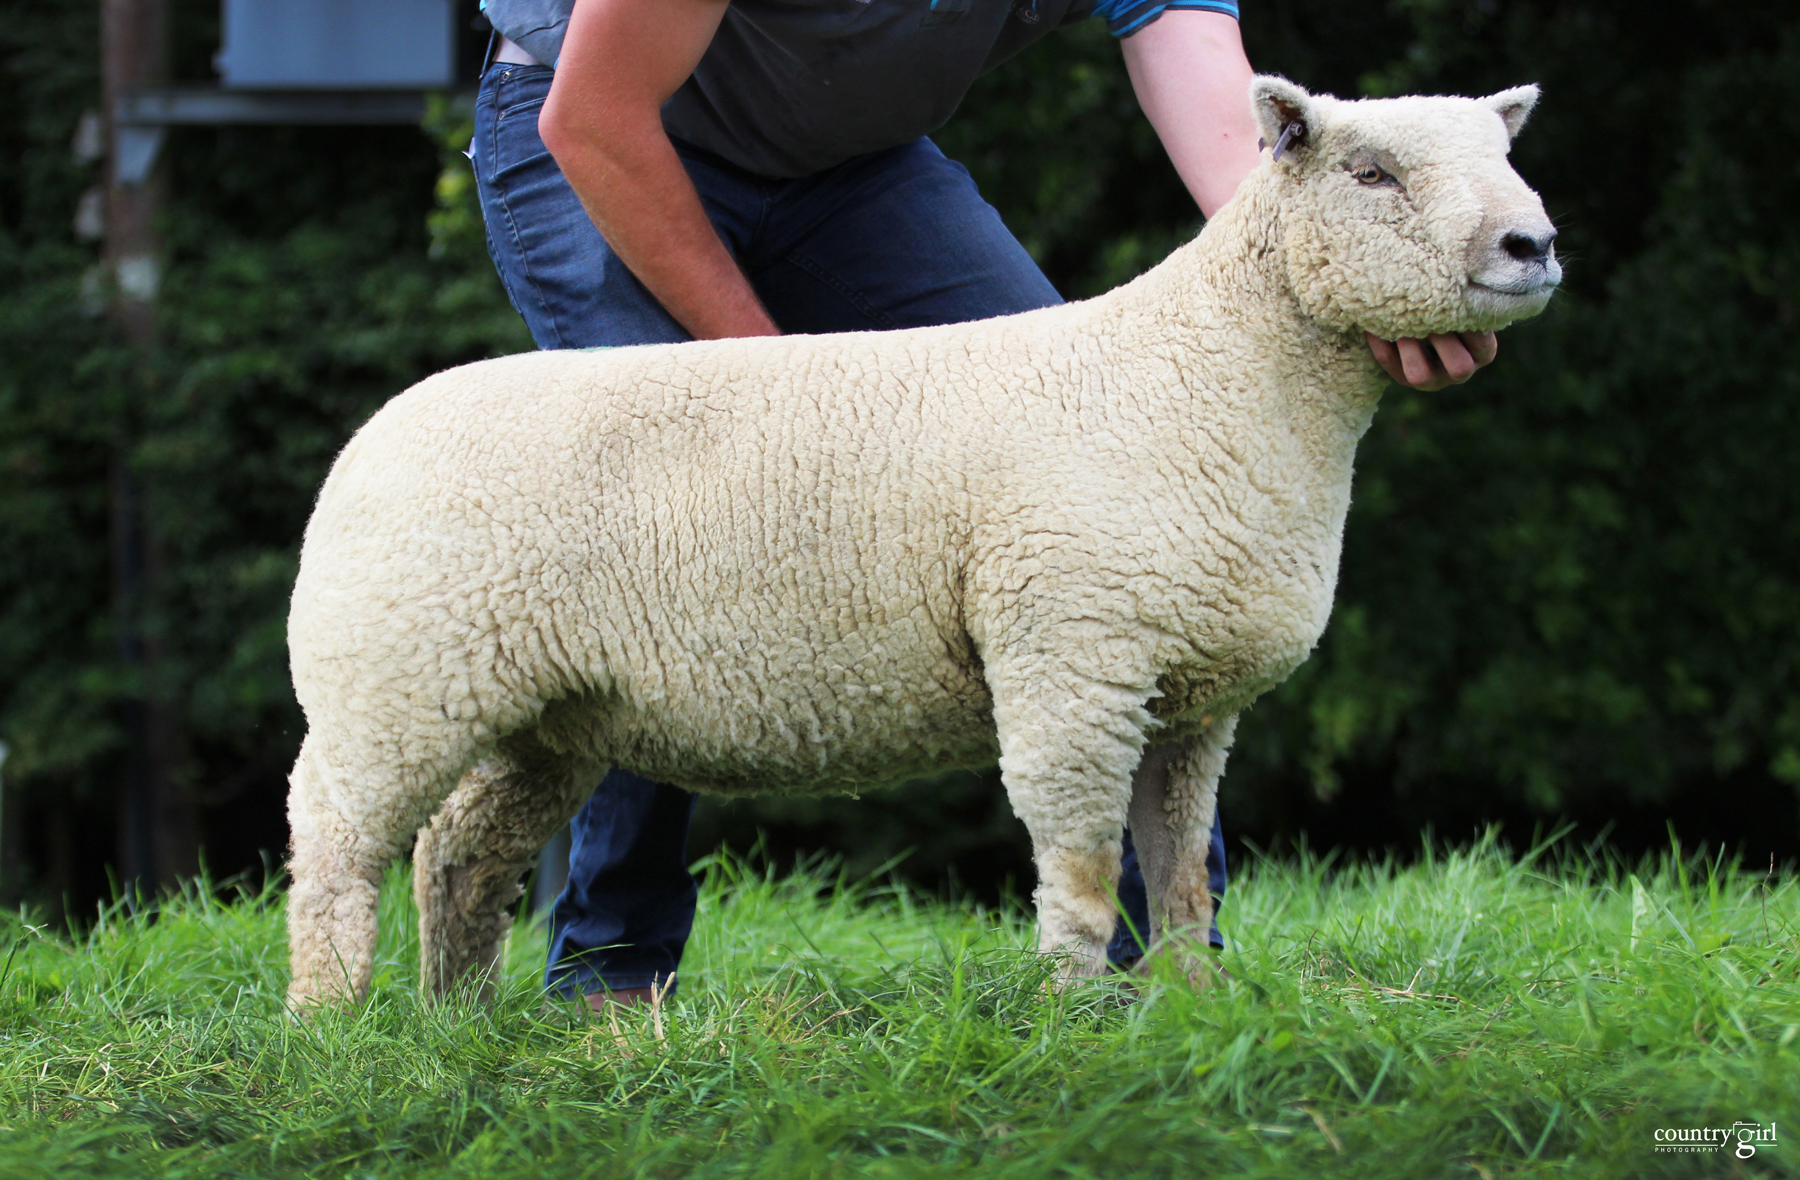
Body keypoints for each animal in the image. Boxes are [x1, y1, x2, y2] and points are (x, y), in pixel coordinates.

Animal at [284, 78, 1562, 1007]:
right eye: (1369, 171)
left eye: (1501, 155)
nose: (1531, 244)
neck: (1208, 373)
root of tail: (369, 438)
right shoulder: (1072, 658)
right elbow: (1081, 863)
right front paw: (1073, 1014)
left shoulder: (1192, 698)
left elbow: (1180, 872)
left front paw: (1190, 1010)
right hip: (392, 676)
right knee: (335, 839)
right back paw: (333, 1020)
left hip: (543, 706)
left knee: (458, 849)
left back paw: (455, 1017)